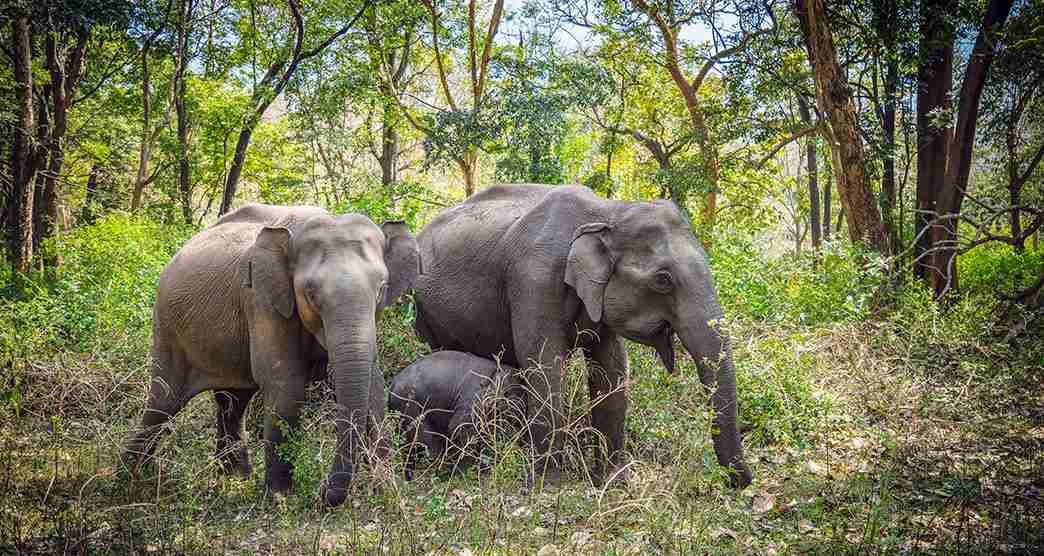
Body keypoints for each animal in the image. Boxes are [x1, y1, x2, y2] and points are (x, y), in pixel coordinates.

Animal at [122, 203, 419, 507]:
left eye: (381, 289)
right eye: (310, 294)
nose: (322, 492)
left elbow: (374, 387)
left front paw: (388, 490)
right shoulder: (262, 301)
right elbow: (284, 384)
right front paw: (280, 498)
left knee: (231, 402)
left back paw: (234, 479)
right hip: (168, 328)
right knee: (164, 402)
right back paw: (128, 479)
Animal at [388, 351, 524, 479]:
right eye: (508, 395)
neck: (497, 369)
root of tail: (391, 386)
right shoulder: (473, 397)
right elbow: (459, 428)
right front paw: (464, 474)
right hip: (408, 403)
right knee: (426, 441)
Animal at [412, 184, 752, 488]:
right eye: (663, 279)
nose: (740, 483)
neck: (609, 211)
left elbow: (611, 371)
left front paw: (612, 482)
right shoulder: (533, 279)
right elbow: (544, 366)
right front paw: (549, 485)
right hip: (424, 310)